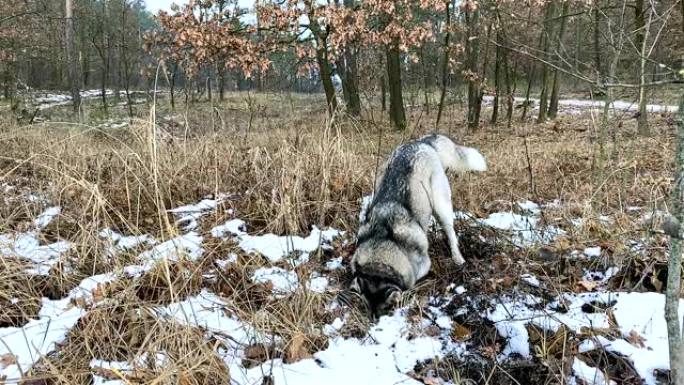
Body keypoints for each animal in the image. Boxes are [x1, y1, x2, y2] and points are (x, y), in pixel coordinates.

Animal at [352, 134, 486, 316]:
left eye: (385, 311)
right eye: (368, 310)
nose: (374, 319)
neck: (383, 242)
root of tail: (421, 142)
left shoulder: (422, 265)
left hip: (440, 205)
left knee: (450, 232)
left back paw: (457, 257)